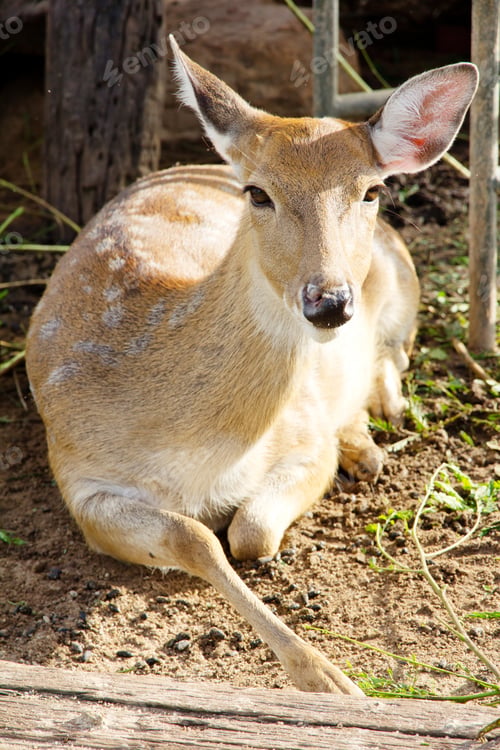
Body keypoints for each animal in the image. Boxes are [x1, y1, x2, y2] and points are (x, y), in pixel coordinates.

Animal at [26, 38, 478, 696]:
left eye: (372, 191)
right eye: (258, 193)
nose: (330, 300)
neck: (200, 453)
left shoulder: (306, 441)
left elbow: (249, 530)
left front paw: (334, 681)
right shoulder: (76, 476)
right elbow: (194, 536)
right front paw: (329, 677)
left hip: (402, 281)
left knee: (394, 354)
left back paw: (369, 438)